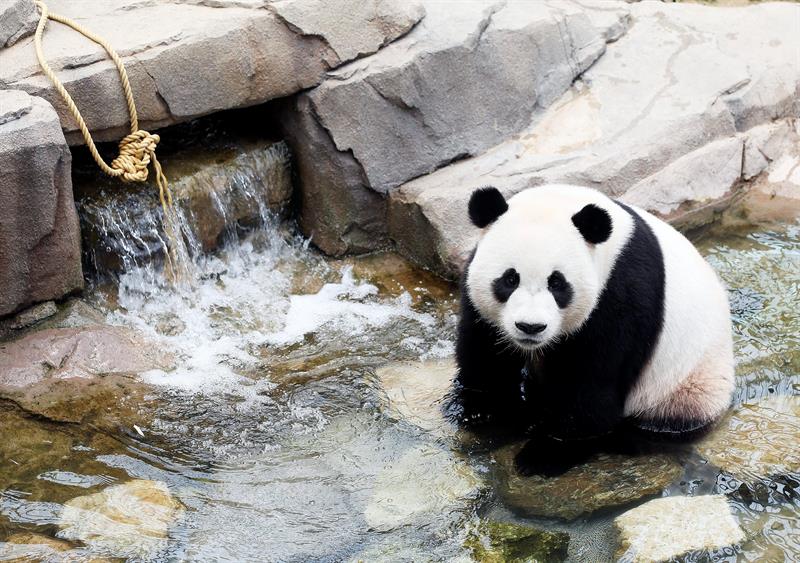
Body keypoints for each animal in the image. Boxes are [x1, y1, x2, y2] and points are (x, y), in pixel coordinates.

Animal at [451, 184, 734, 471]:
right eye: (510, 279)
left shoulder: (621, 295)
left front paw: (544, 454)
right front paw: (487, 415)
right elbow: (486, 357)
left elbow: (592, 389)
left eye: (557, 283)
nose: (530, 327)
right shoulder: (477, 296)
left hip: (684, 387)